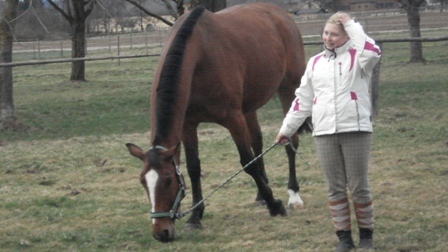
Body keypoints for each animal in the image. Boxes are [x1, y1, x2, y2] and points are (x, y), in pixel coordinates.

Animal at [125, 2, 308, 242]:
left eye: (167, 180)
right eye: (143, 182)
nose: (161, 232)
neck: (197, 56)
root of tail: (280, 15)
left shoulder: (233, 119)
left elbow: (246, 161)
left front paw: (275, 205)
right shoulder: (188, 125)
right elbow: (194, 167)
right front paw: (195, 217)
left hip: (288, 88)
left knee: (290, 142)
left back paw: (293, 195)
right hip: (249, 107)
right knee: (257, 142)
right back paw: (260, 194)